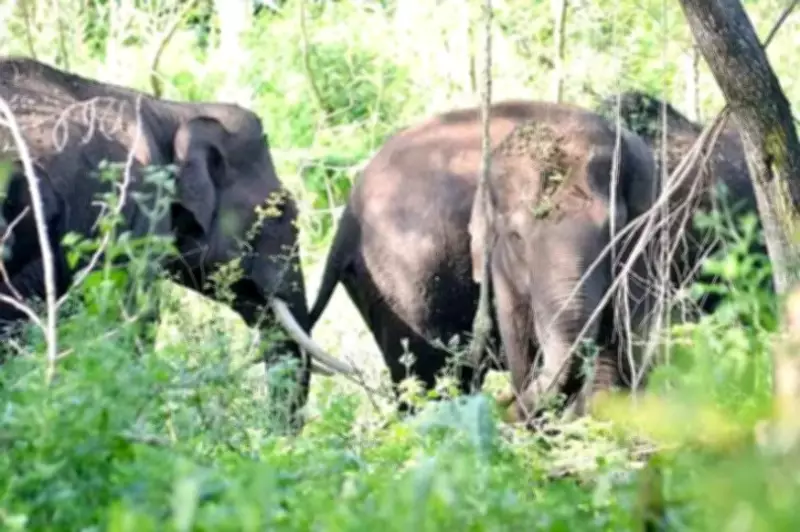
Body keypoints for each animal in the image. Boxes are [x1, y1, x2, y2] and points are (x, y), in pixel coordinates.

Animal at [307, 100, 657, 420]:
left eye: (614, 231)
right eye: (516, 237)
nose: (505, 405)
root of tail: (348, 216)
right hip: (401, 286)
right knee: (427, 376)